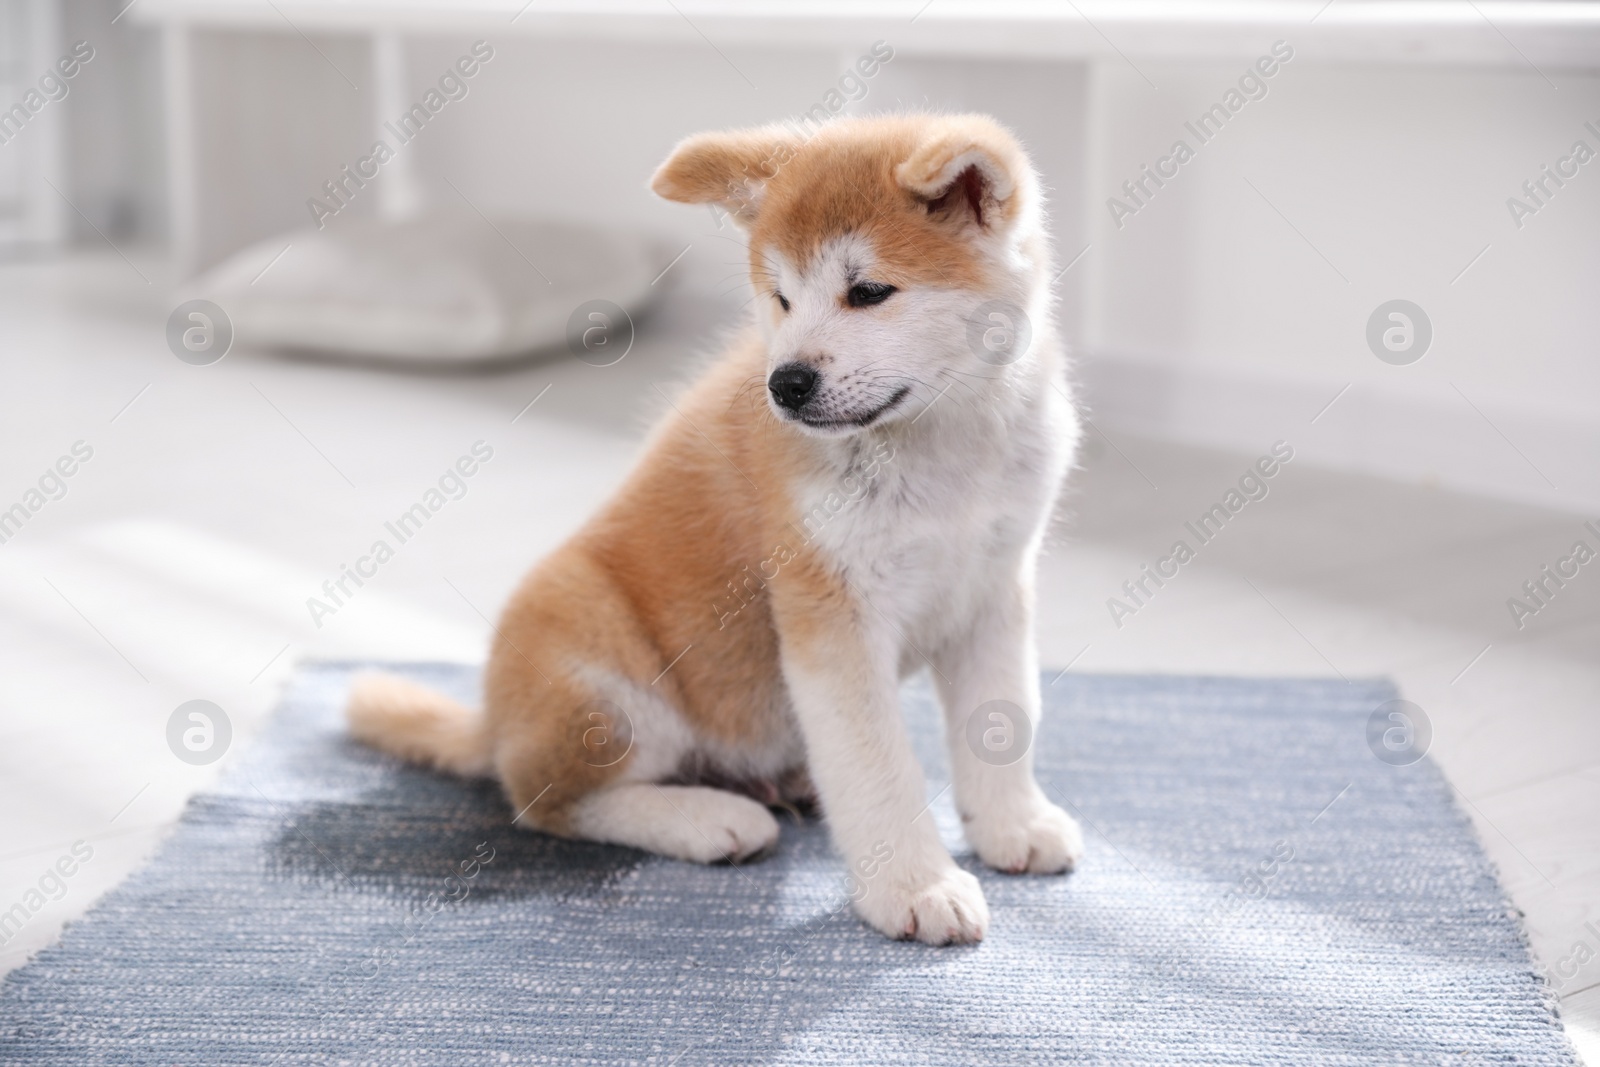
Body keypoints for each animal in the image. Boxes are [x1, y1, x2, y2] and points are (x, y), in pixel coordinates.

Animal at [344, 112, 1081, 940]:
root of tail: (493, 724)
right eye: (781, 297)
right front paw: (914, 883)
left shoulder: (993, 590)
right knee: (546, 801)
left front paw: (1013, 823)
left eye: (868, 291)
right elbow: (880, 765)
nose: (786, 384)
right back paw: (707, 819)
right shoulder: (833, 613)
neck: (946, 447)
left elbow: (1003, 722)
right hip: (597, 668)